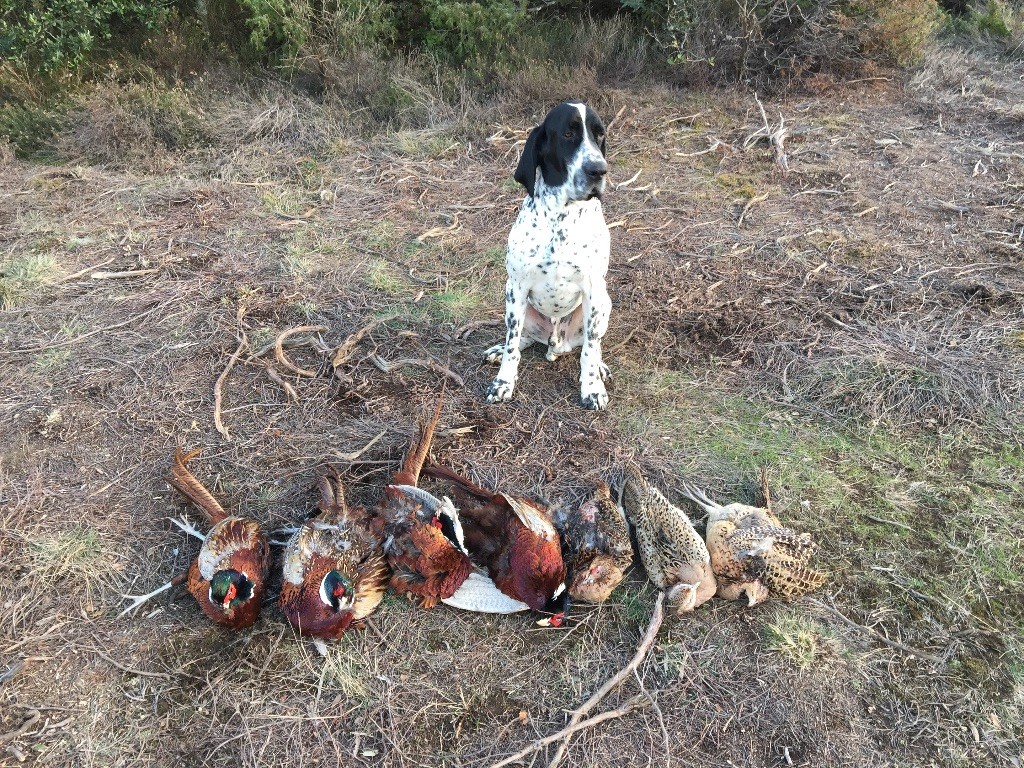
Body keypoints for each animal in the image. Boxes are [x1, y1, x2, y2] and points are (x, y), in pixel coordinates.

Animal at [485, 107, 610, 415]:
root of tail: (556, 342)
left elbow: (590, 350)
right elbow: (512, 346)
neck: (561, 217)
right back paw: (499, 351)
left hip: (604, 303)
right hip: (513, 303)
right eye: (567, 133)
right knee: (520, 338)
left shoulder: (594, 290)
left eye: (600, 134)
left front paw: (592, 387)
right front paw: (503, 382)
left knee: (592, 343)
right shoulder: (516, 288)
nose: (598, 170)